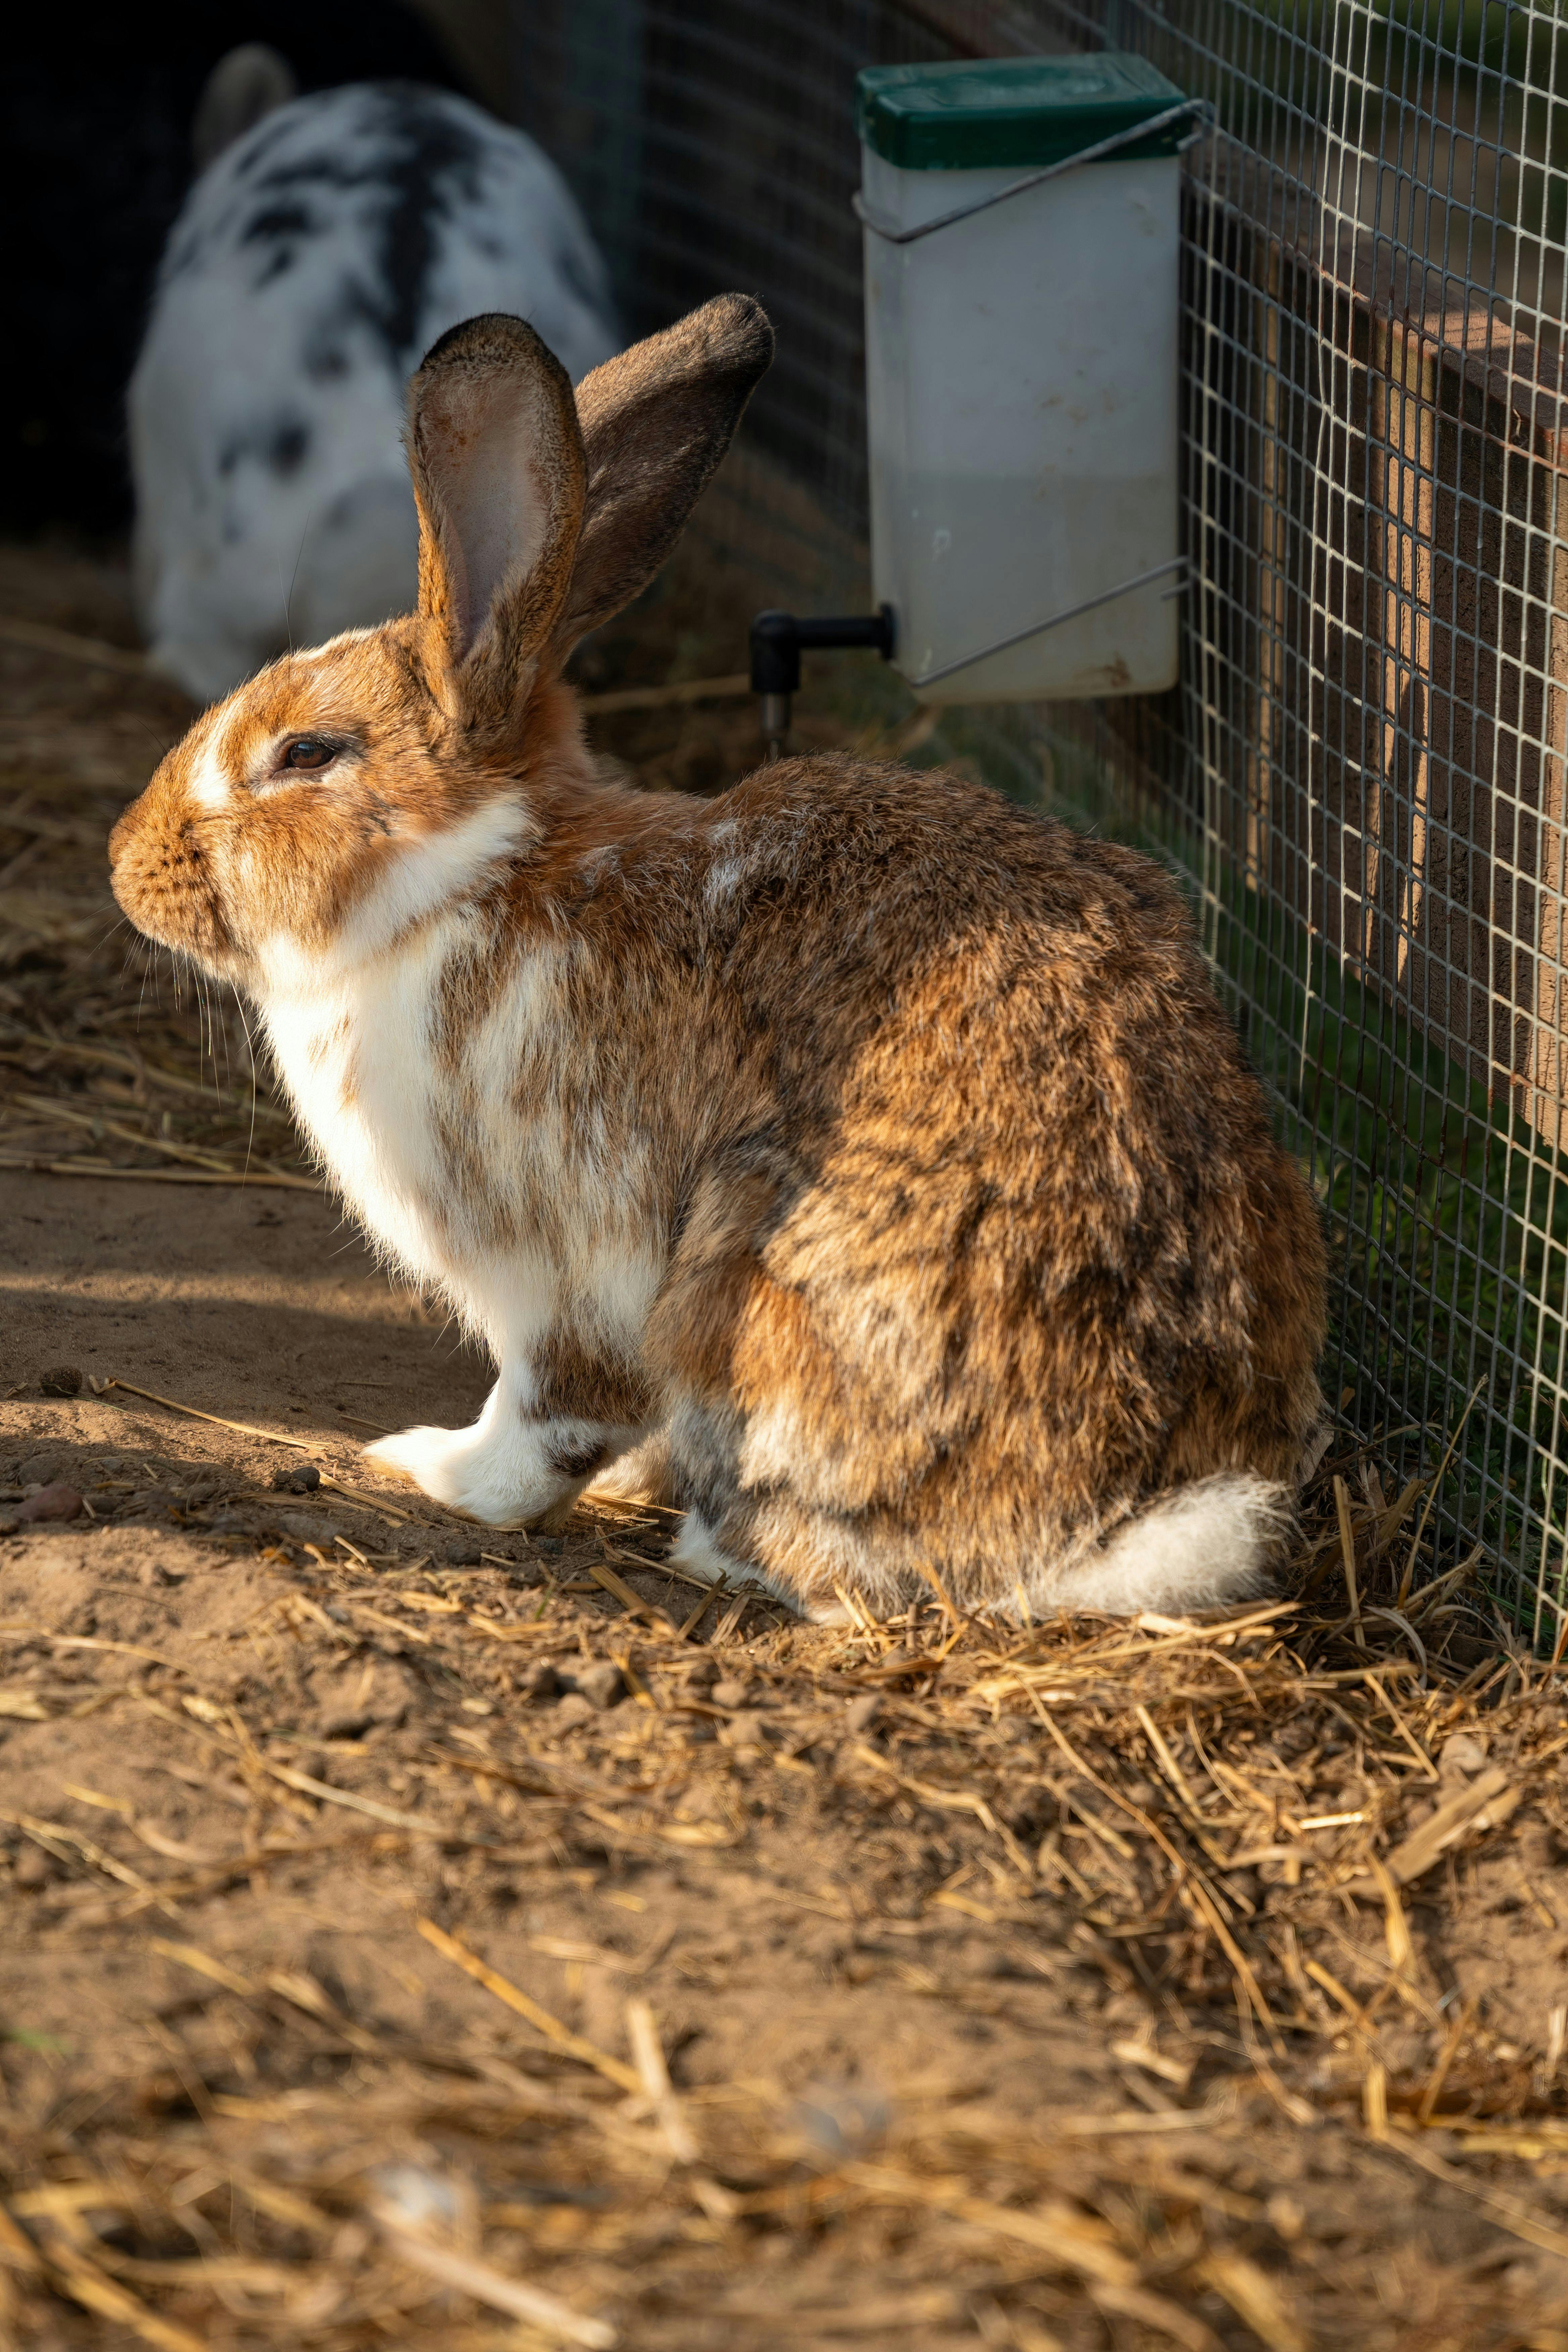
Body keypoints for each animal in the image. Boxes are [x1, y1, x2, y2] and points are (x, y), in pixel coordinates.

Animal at [110, 294, 1335, 1618]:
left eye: (305, 754)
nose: (127, 865)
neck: (465, 881)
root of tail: (1111, 1529)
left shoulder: (558, 1265)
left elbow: (547, 1417)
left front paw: (432, 1470)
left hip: (739, 1283)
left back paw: (710, 1543)